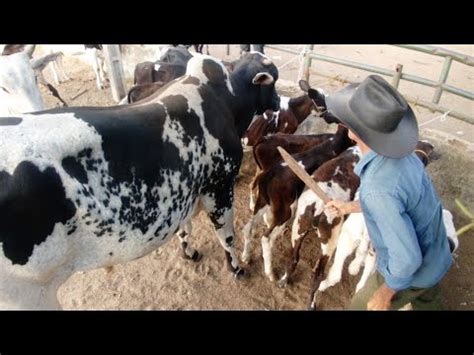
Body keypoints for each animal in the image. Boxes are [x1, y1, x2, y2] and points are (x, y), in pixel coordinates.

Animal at [0, 51, 282, 310]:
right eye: (273, 82)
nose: (279, 100)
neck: (223, 100)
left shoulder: (186, 188)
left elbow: (185, 229)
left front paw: (188, 252)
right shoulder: (219, 187)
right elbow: (227, 236)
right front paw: (236, 268)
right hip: (28, 295)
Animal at [241, 125, 356, 280]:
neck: (333, 143)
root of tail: (270, 173)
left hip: (263, 202)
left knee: (249, 227)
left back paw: (246, 257)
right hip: (285, 212)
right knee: (266, 238)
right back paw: (270, 273)